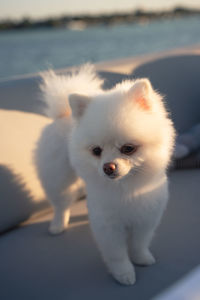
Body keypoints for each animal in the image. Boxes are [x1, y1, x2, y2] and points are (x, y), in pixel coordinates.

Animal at [35, 64, 175, 284]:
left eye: (128, 148)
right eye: (96, 151)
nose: (108, 167)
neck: (125, 189)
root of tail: (64, 113)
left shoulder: (146, 217)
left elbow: (139, 243)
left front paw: (141, 258)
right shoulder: (108, 227)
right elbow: (117, 254)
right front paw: (124, 273)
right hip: (58, 178)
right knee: (60, 203)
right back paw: (58, 224)